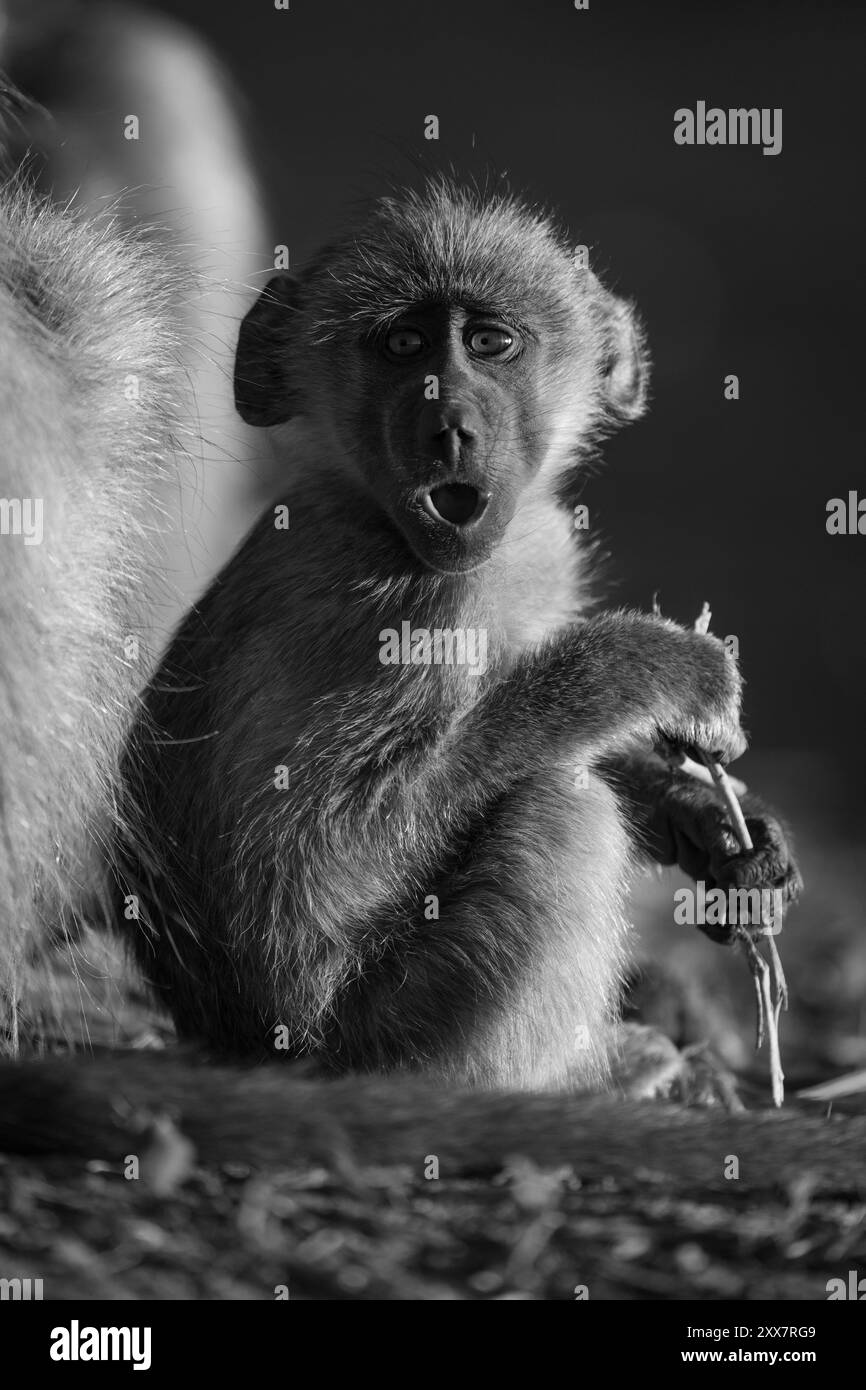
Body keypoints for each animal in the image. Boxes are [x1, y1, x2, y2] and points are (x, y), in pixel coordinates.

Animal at [110, 176, 801, 1094]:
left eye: (489, 342)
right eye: (404, 345)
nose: (450, 427)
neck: (376, 514)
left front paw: (717, 830)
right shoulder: (402, 617)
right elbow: (338, 850)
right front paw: (657, 667)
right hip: (389, 1035)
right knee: (562, 806)